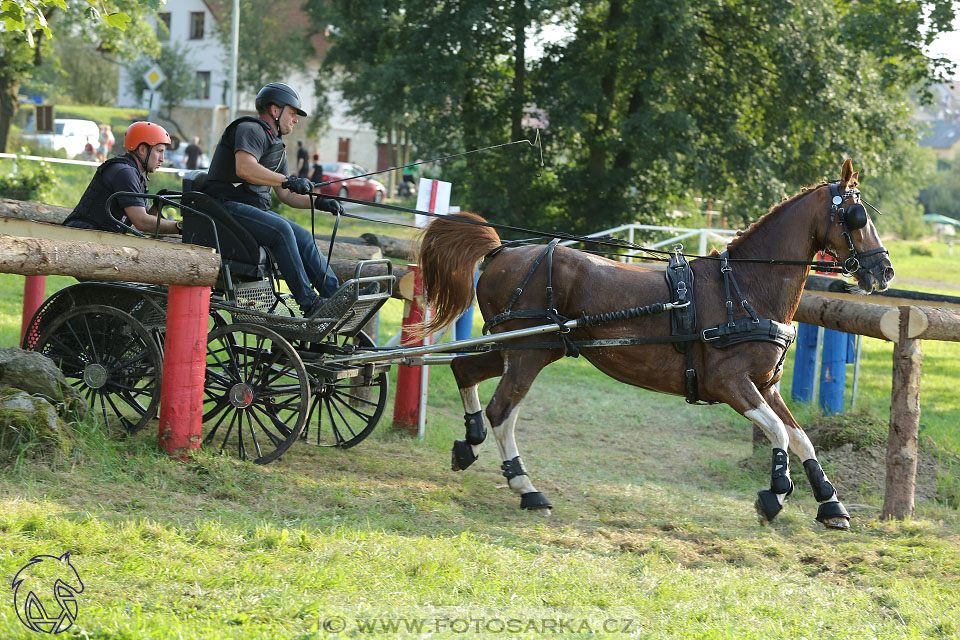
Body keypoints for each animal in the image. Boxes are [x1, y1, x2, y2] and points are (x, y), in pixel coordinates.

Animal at [416, 161, 896, 528]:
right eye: (856, 215)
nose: (885, 271)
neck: (744, 286)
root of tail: (502, 251)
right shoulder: (730, 383)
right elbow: (778, 431)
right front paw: (775, 494)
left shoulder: (766, 385)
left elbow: (802, 439)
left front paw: (831, 504)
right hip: (526, 356)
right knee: (502, 410)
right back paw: (527, 489)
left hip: (522, 349)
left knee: (463, 370)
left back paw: (469, 444)